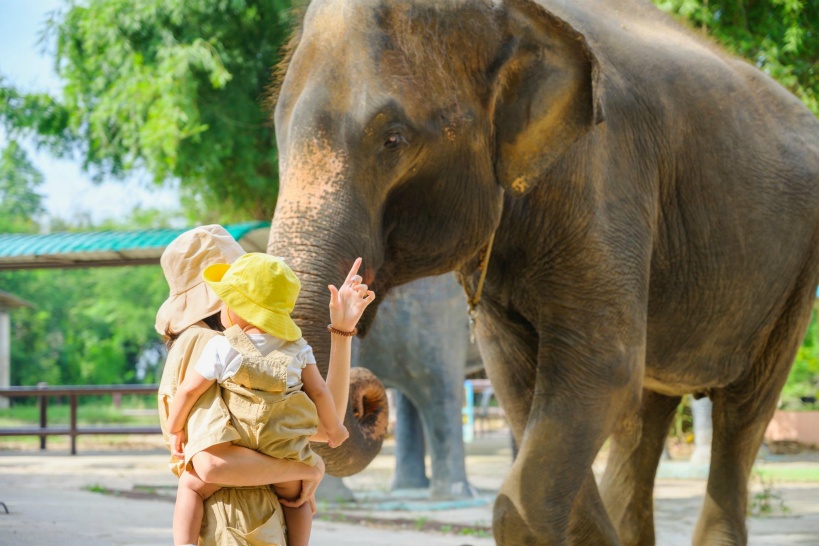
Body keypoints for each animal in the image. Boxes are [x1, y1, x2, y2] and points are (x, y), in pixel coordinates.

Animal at [270, 1, 819, 544]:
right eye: (277, 131)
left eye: (393, 139)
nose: (365, 397)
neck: (513, 15)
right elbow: (520, 379)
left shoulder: (605, 177)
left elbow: (604, 367)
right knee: (644, 413)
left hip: (796, 278)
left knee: (742, 412)